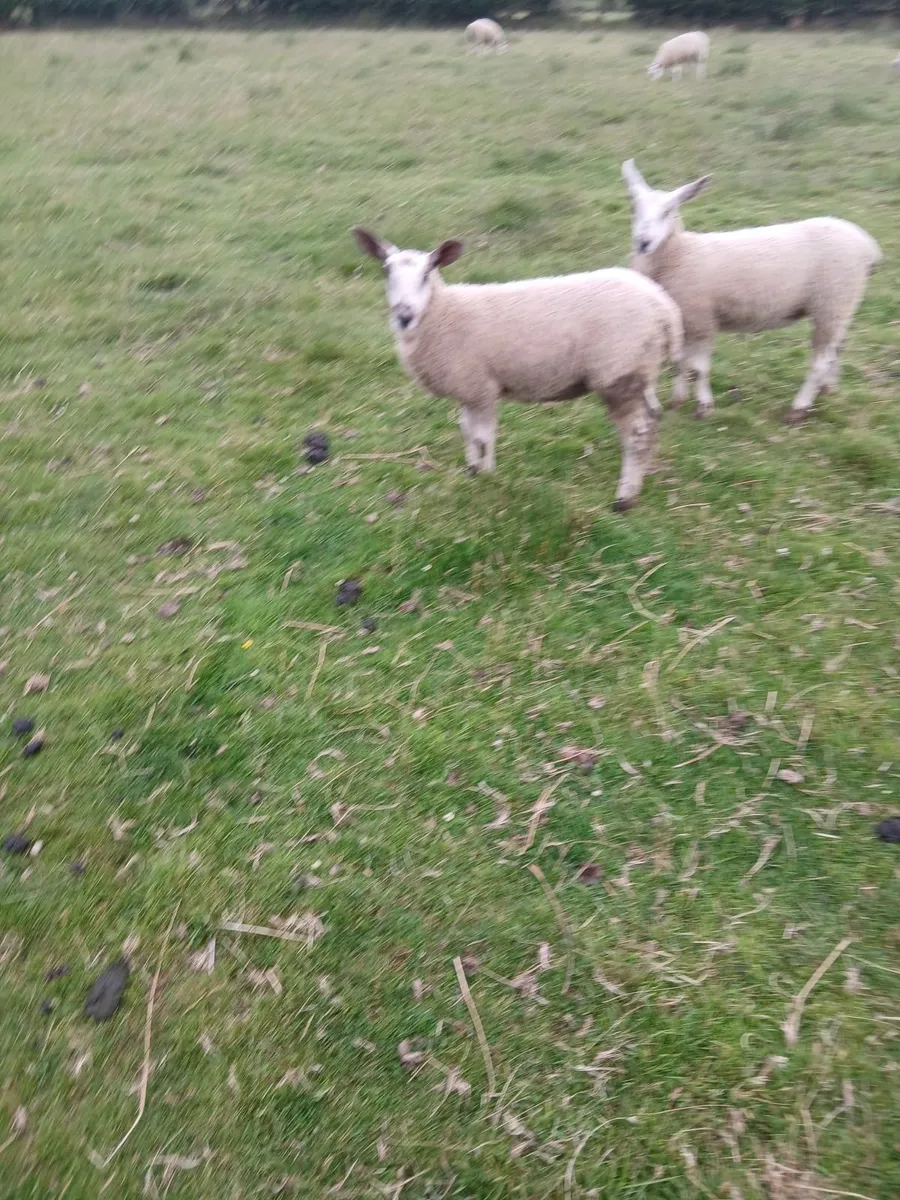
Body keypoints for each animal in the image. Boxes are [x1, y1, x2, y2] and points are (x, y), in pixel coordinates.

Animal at [352, 227, 683, 511]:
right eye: (386, 271)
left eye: (426, 273)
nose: (404, 316)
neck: (443, 312)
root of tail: (664, 307)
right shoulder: (468, 388)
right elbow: (467, 431)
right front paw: (472, 471)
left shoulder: (482, 388)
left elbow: (482, 437)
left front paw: (485, 477)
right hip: (641, 369)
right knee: (653, 420)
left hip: (618, 372)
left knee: (637, 433)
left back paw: (624, 498)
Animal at [621, 160, 883, 424]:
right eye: (634, 208)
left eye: (669, 211)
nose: (643, 242)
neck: (681, 253)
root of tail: (868, 247)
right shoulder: (684, 321)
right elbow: (679, 364)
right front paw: (677, 400)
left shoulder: (702, 319)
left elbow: (698, 369)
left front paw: (704, 407)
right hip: (841, 306)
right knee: (836, 349)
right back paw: (828, 389)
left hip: (833, 300)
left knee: (821, 360)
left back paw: (799, 408)